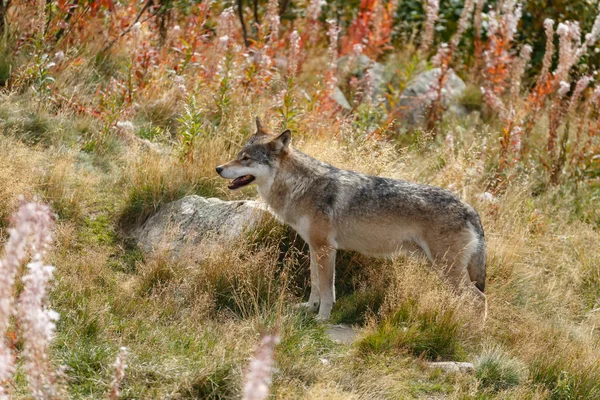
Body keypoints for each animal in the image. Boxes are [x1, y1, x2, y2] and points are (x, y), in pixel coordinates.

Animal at [217, 117, 488, 320]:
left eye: (246, 159)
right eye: (238, 154)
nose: (219, 168)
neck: (301, 187)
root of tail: (471, 209)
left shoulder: (326, 249)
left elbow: (328, 290)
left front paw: (322, 319)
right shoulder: (314, 248)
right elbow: (315, 285)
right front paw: (309, 309)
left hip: (447, 270)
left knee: (480, 299)